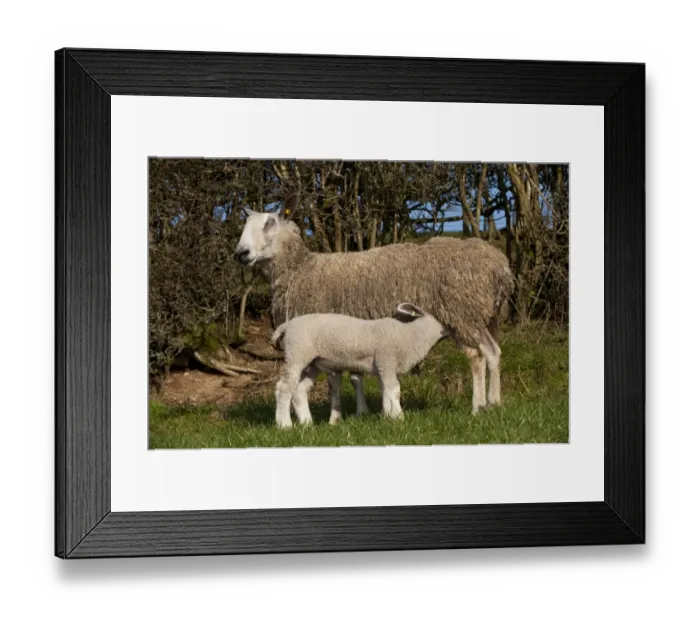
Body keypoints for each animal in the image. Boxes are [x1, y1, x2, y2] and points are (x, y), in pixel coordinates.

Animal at [270, 303, 449, 428]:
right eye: (440, 318)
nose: (449, 330)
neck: (409, 336)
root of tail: (287, 325)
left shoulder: (382, 367)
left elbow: (385, 391)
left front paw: (387, 416)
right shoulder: (386, 360)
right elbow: (395, 391)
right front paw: (399, 418)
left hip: (314, 363)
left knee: (300, 389)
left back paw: (307, 423)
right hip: (297, 354)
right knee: (284, 388)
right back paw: (285, 425)